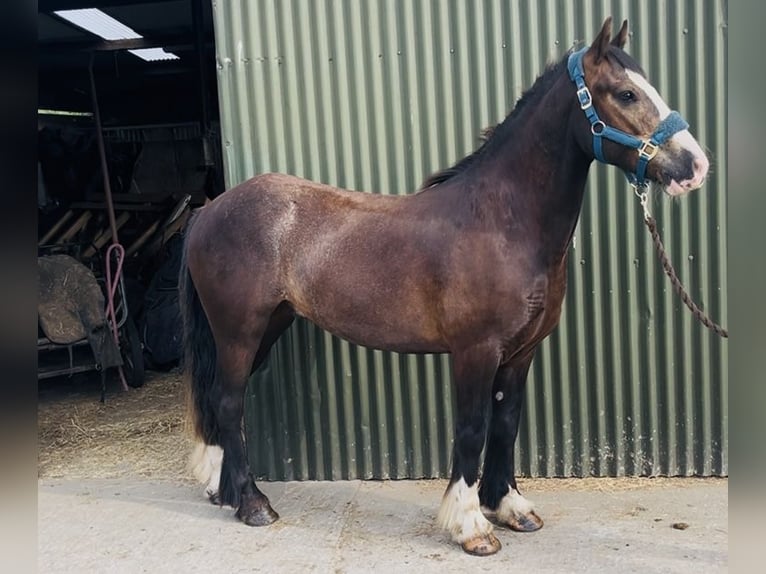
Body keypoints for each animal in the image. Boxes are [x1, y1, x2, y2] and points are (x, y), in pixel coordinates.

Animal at [180, 17, 709, 556]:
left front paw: (511, 508)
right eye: (626, 93)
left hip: (266, 327)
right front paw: (471, 526)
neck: (504, 222)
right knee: (228, 402)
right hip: (239, 333)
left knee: (221, 402)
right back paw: (253, 505)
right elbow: (473, 429)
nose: (695, 166)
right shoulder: (476, 351)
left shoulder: (520, 353)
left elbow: (506, 424)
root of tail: (211, 210)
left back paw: (225, 492)